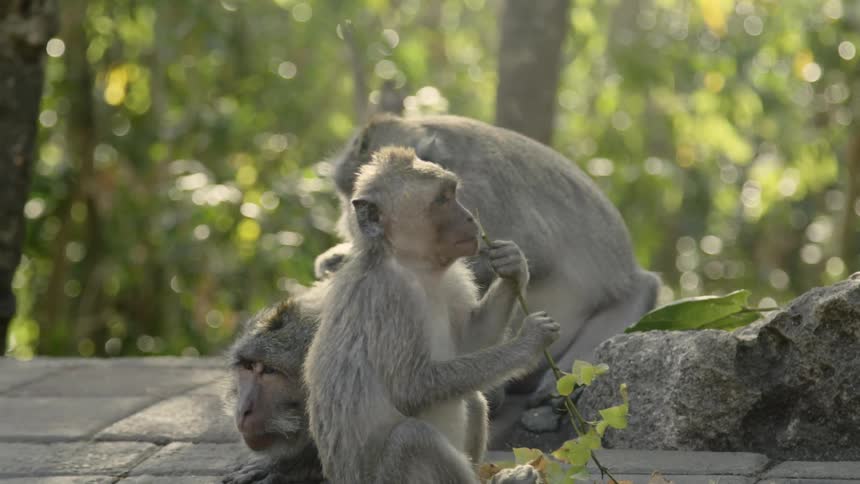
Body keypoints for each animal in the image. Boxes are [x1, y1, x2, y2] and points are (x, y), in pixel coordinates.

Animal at [303, 147, 560, 483]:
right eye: (442, 199)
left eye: (453, 192)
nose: (470, 217)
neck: (413, 265)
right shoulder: (390, 297)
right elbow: (410, 387)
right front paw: (528, 343)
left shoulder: (454, 278)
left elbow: (470, 341)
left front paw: (513, 265)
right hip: (387, 477)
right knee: (414, 439)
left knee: (472, 399)